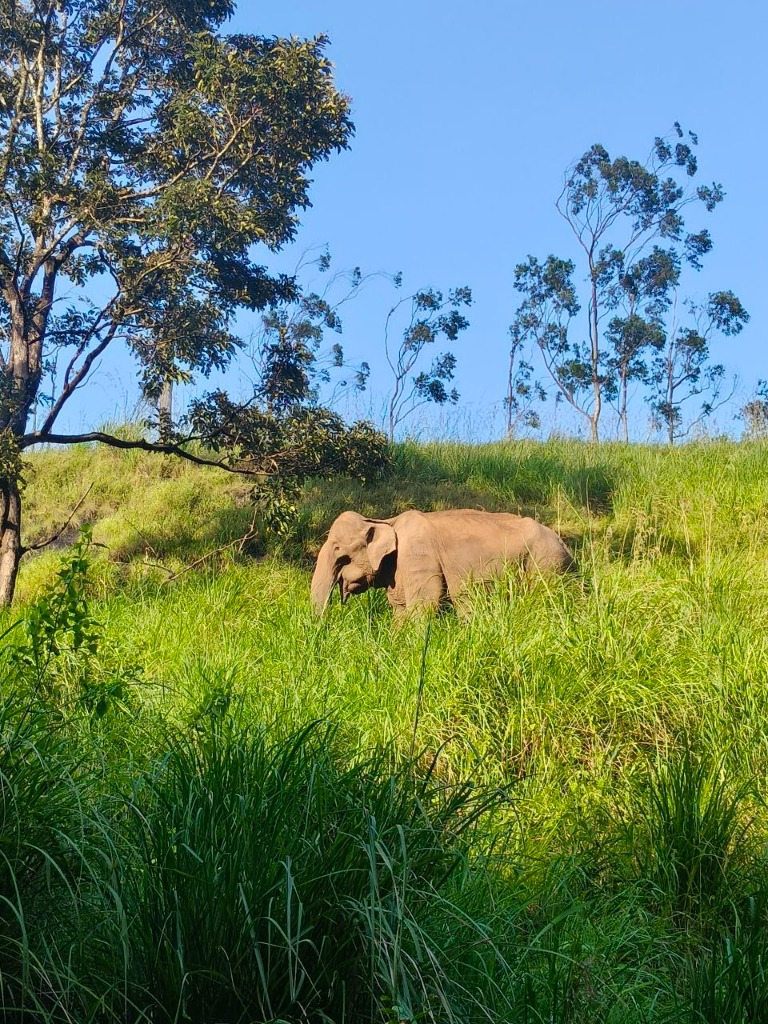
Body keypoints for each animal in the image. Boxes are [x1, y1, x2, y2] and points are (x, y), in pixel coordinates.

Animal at [310, 508, 574, 616]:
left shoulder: (419, 557)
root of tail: (566, 546)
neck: (388, 521)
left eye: (337, 549)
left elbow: (424, 605)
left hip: (546, 565)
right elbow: (400, 610)